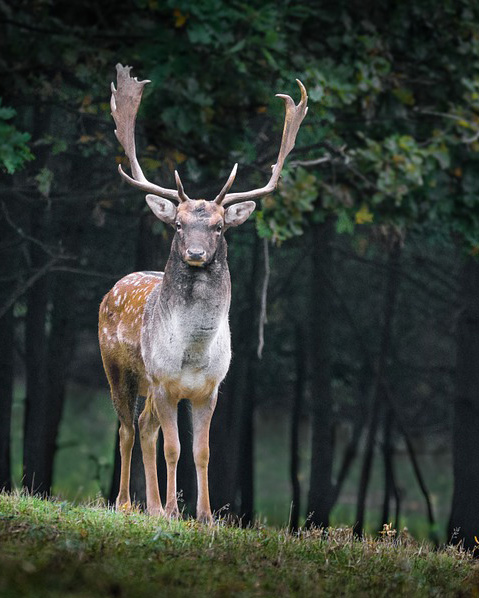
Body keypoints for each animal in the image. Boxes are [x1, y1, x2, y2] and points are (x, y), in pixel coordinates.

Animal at [100, 64, 310, 524]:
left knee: (144, 426)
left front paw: (205, 515)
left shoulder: (210, 389)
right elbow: (173, 448)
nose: (195, 253)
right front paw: (172, 511)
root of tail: (113, 288)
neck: (193, 353)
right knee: (126, 428)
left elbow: (202, 451)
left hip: (148, 385)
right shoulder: (164, 382)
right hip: (118, 368)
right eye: (178, 224)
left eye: (219, 226)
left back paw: (151, 505)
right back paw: (127, 503)